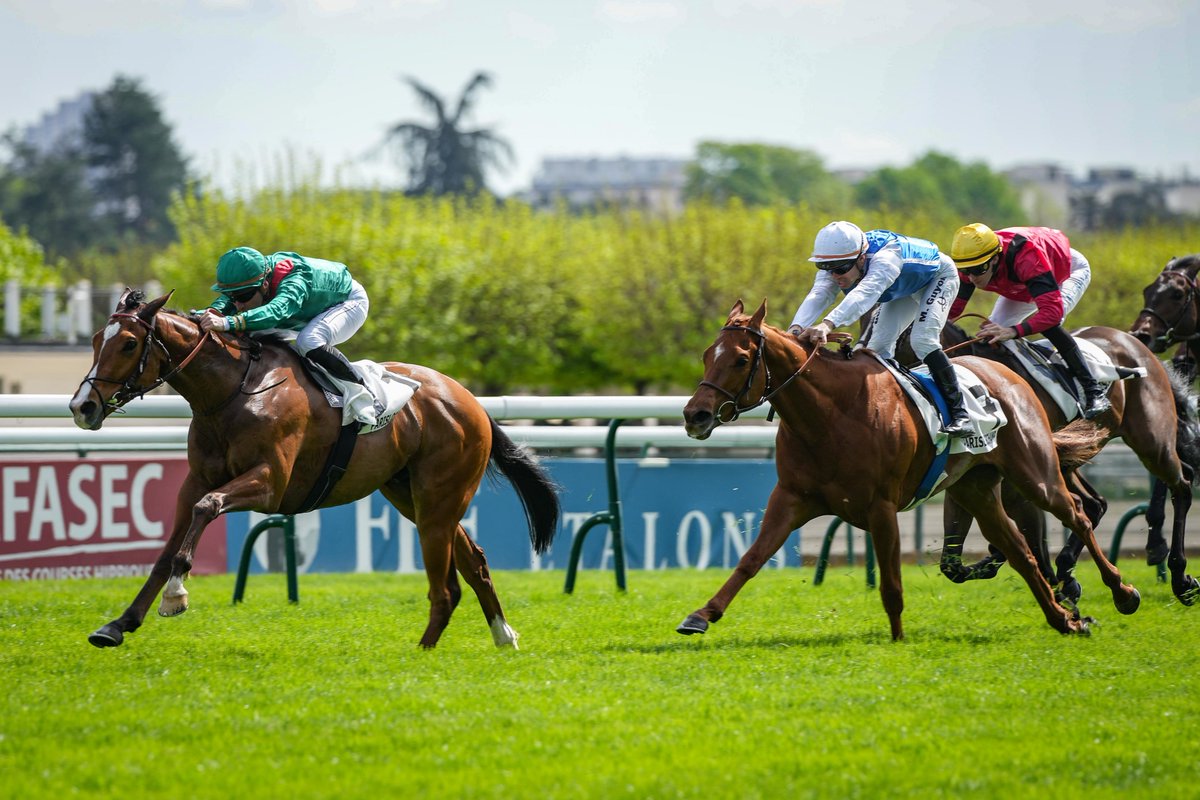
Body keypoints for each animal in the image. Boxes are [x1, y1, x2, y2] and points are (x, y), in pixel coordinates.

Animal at [69, 289, 561, 652]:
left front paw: (176, 594)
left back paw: (423, 651)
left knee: (444, 588)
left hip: (440, 497)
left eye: (129, 343)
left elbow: (207, 509)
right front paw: (118, 624)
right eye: (94, 340)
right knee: (473, 564)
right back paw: (502, 635)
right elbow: (168, 546)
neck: (232, 391)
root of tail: (470, 401)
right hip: (413, 498)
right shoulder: (194, 481)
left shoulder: (269, 482)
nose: (82, 407)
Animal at [676, 299, 1132, 642]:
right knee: (1022, 552)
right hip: (975, 490)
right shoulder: (792, 497)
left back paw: (1121, 592)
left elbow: (892, 582)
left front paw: (897, 638)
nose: (695, 415)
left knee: (1077, 514)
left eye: (740, 360)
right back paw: (1064, 619)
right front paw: (701, 615)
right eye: (707, 356)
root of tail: (1010, 375)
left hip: (1036, 474)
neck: (830, 416)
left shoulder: (881, 507)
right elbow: (751, 559)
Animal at [936, 321, 1200, 604]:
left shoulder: (1017, 481)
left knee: (1181, 485)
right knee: (1097, 503)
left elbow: (1032, 538)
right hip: (1071, 462)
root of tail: (1138, 346)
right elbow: (953, 561)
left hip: (1152, 442)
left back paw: (1178, 575)